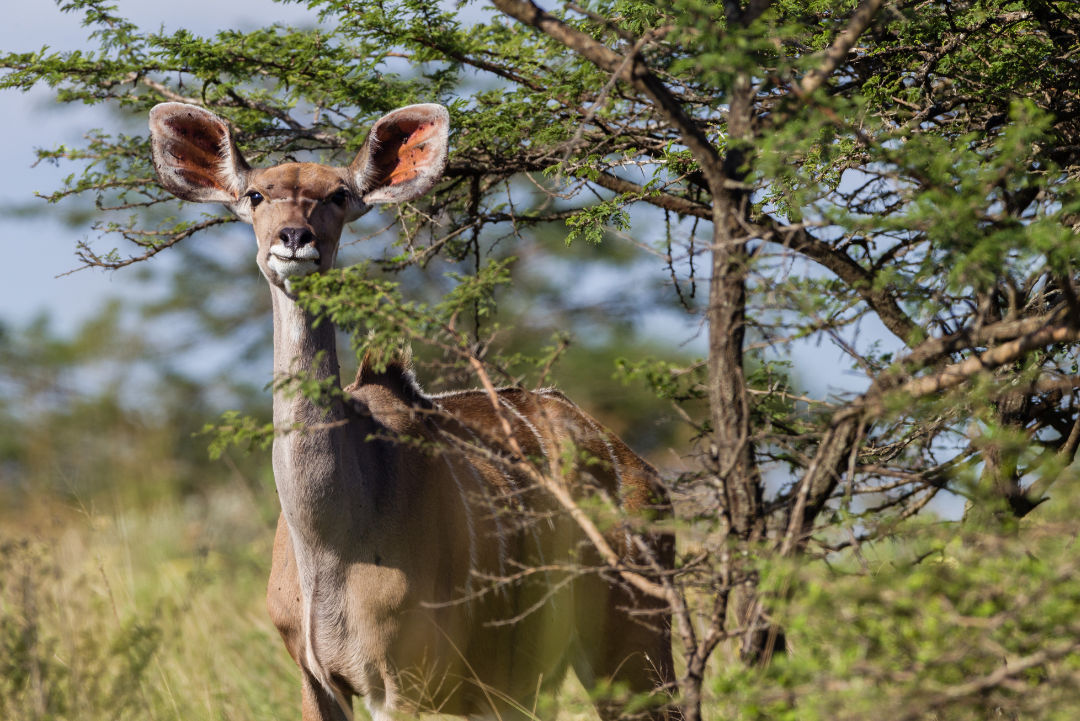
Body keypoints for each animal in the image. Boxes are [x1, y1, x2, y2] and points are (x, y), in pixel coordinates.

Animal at [148, 102, 676, 721]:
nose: (294, 238)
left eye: (338, 196)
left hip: (633, 644)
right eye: (256, 194)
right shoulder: (313, 677)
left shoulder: (402, 682)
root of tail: (642, 471)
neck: (331, 539)